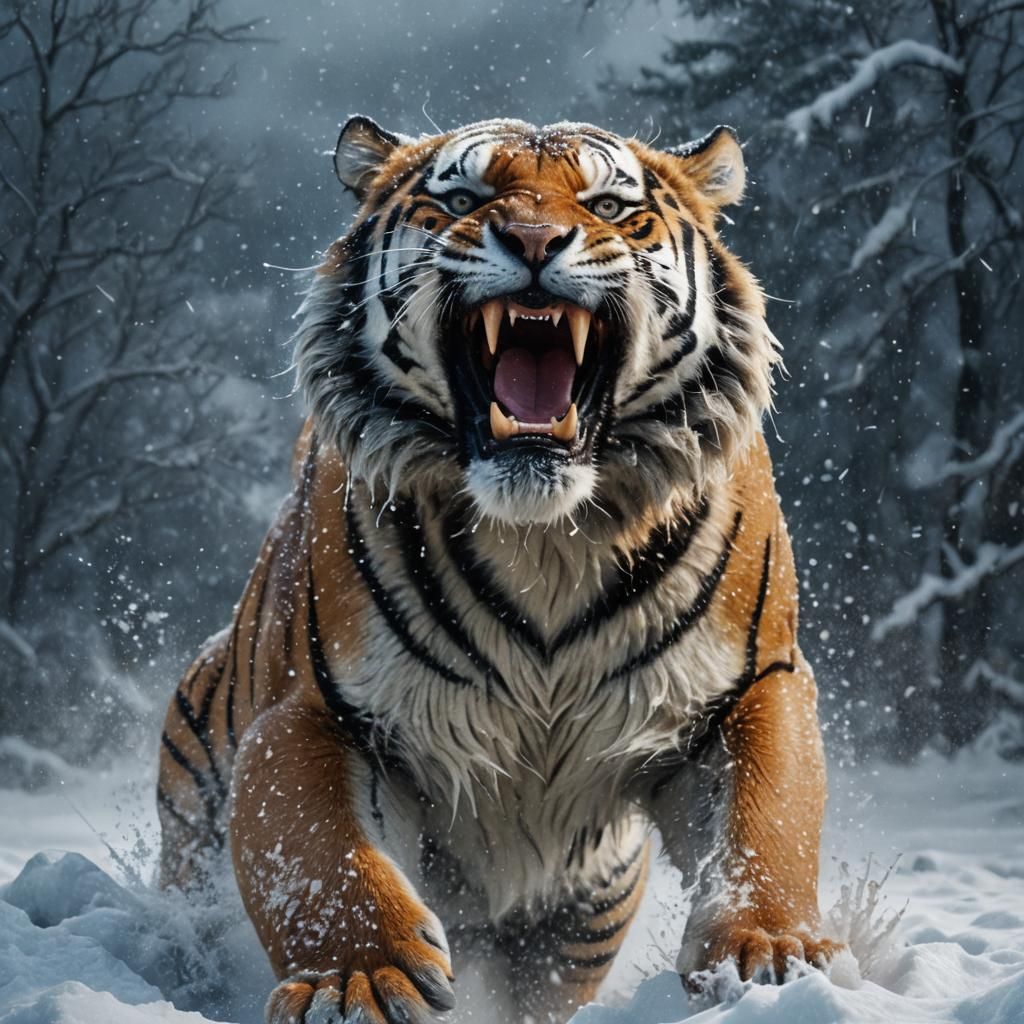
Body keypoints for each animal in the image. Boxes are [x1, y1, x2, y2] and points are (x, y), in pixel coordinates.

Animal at [157, 115, 846, 1024]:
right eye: (463, 199)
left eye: (608, 206)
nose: (532, 240)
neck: (547, 539)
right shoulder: (312, 710)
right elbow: (319, 855)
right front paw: (358, 980)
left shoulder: (749, 685)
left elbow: (770, 821)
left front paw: (769, 954)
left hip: (585, 913)